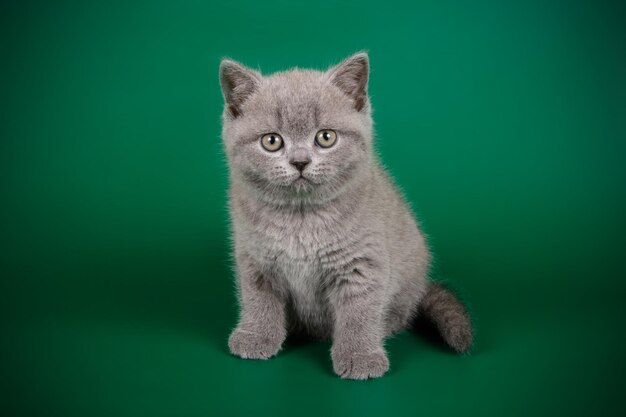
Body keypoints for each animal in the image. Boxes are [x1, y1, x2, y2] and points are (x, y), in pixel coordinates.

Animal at [217, 51, 470, 376]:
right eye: (271, 141)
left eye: (326, 137)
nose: (300, 161)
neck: (301, 218)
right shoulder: (255, 259)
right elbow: (258, 299)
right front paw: (256, 336)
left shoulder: (362, 263)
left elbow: (358, 312)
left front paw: (359, 355)